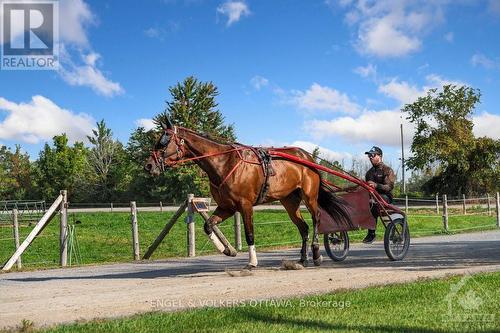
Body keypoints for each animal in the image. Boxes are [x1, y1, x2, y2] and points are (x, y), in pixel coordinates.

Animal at [143, 118, 350, 268]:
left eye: (163, 141)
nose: (148, 166)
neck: (224, 163)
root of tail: (308, 158)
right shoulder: (226, 207)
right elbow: (208, 225)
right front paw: (228, 250)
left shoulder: (245, 205)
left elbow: (250, 233)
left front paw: (252, 261)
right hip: (289, 201)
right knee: (303, 227)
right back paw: (302, 259)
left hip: (309, 196)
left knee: (316, 219)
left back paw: (316, 255)